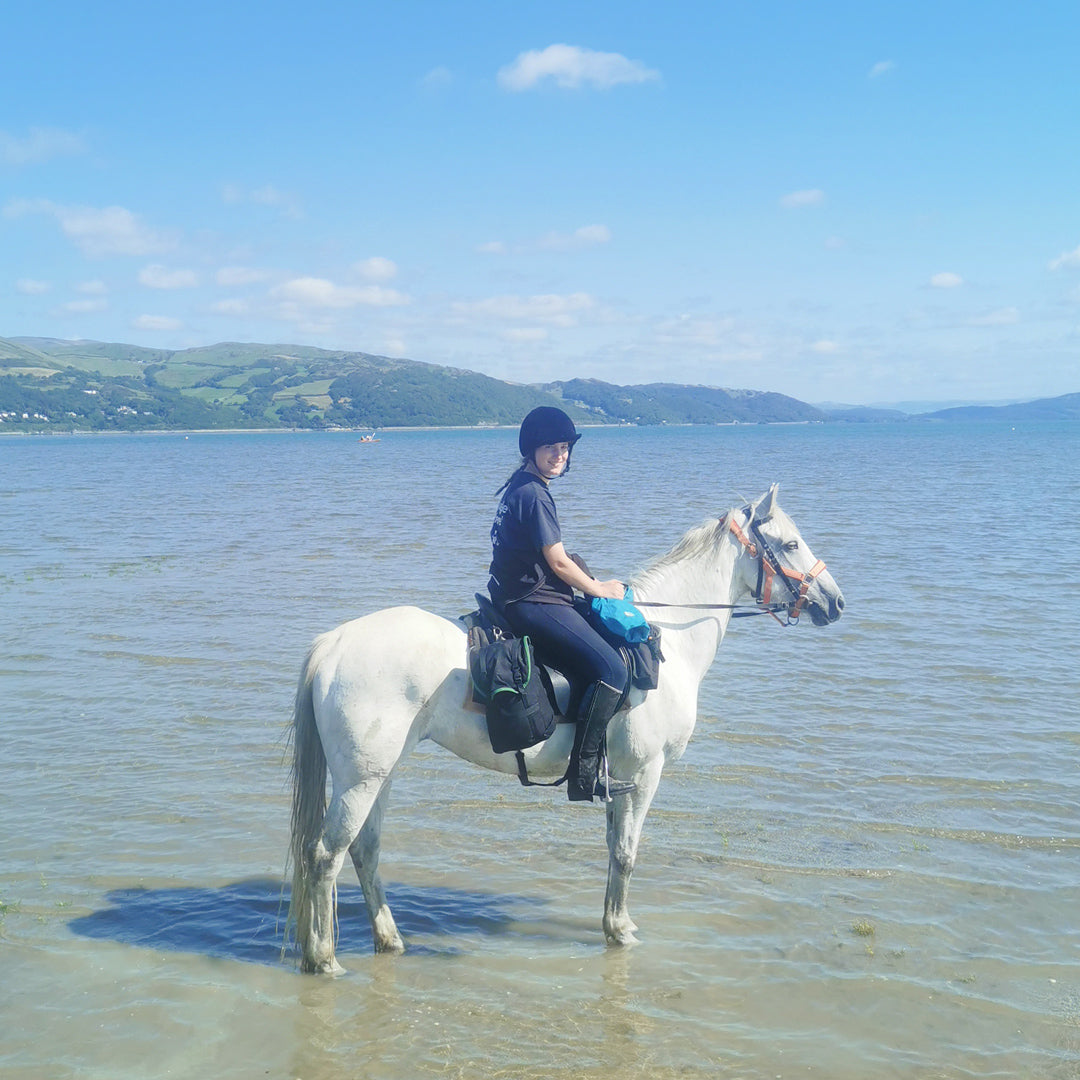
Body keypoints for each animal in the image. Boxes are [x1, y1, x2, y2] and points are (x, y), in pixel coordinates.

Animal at [287, 486, 842, 976]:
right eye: (791, 544)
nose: (834, 602)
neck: (666, 643)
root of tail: (334, 644)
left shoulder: (619, 778)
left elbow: (614, 852)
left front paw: (613, 922)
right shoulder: (646, 773)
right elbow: (627, 854)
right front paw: (621, 931)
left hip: (380, 774)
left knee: (364, 850)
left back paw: (389, 939)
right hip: (361, 780)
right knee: (324, 856)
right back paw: (324, 958)